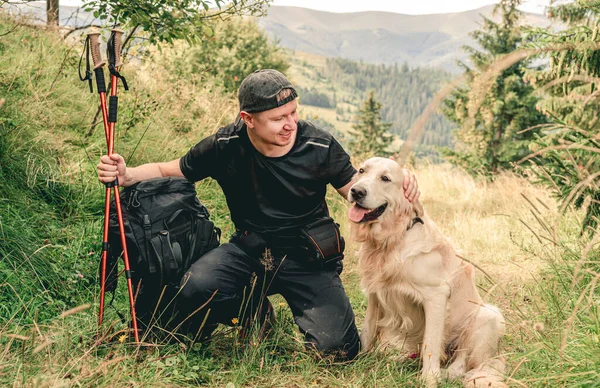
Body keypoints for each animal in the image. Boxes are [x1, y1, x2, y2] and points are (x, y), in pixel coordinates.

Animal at [346, 157, 506, 384]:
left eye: (385, 178)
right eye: (361, 171)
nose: (356, 191)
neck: (393, 239)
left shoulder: (436, 296)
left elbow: (431, 342)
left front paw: (430, 379)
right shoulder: (374, 294)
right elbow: (367, 330)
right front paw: (360, 360)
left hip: (489, 315)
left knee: (464, 362)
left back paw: (448, 373)